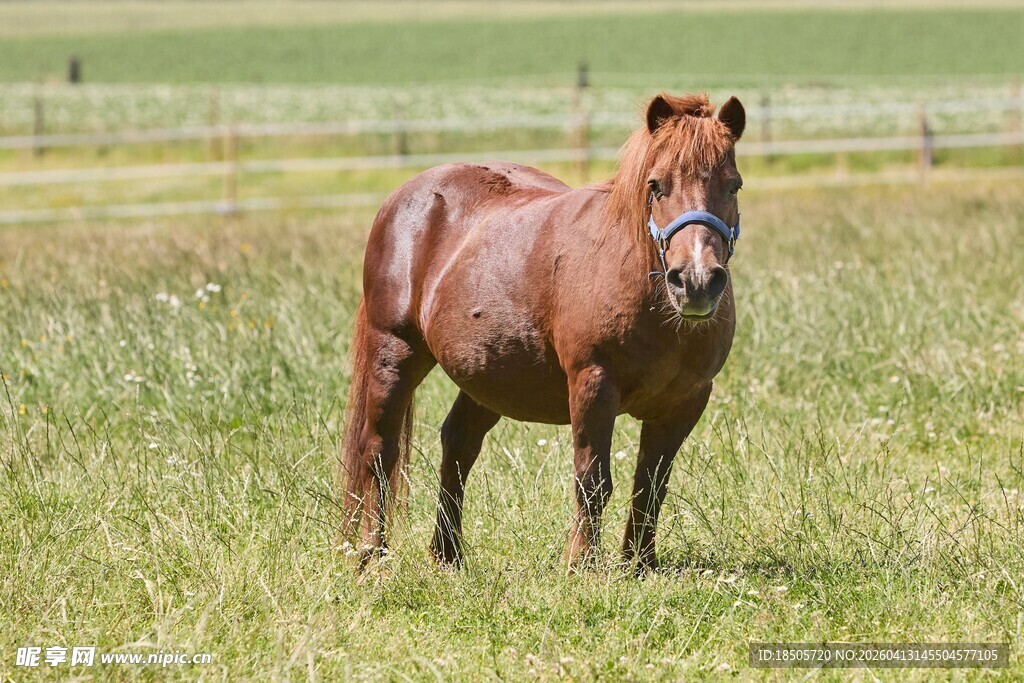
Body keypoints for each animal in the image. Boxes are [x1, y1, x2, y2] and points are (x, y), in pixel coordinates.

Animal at [339, 92, 745, 572]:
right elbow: (592, 480)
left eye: (734, 185)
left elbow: (650, 486)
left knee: (458, 445)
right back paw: (371, 556)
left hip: (490, 374)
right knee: (378, 452)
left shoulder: (686, 401)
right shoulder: (592, 383)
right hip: (395, 351)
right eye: (656, 184)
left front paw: (639, 565)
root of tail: (404, 196)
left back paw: (447, 555)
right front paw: (582, 564)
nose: (697, 281)